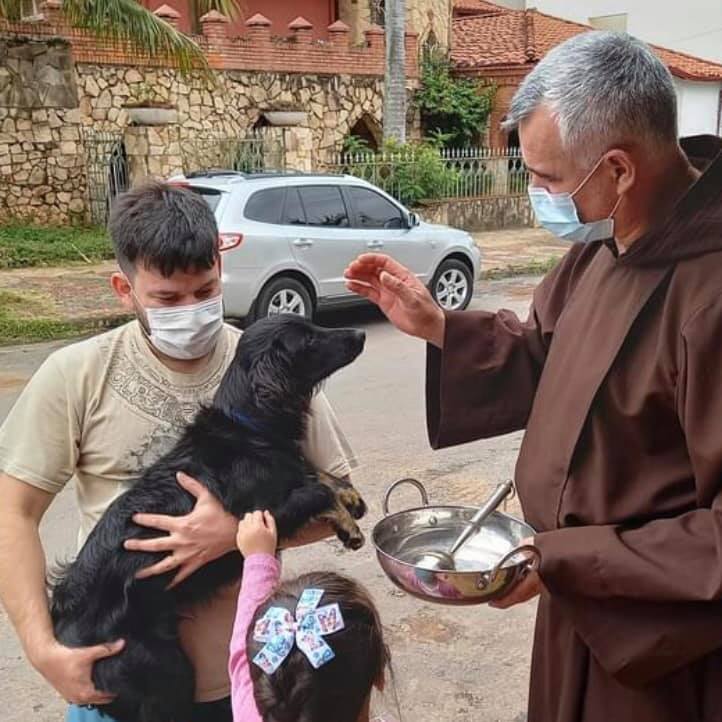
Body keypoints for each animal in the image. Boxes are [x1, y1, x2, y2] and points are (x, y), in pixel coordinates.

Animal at [52, 316, 366, 720]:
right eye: (309, 339)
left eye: (312, 326)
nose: (360, 333)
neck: (250, 426)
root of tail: (64, 625)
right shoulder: (261, 513)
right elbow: (315, 487)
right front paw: (346, 519)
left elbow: (315, 473)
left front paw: (349, 497)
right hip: (167, 671)